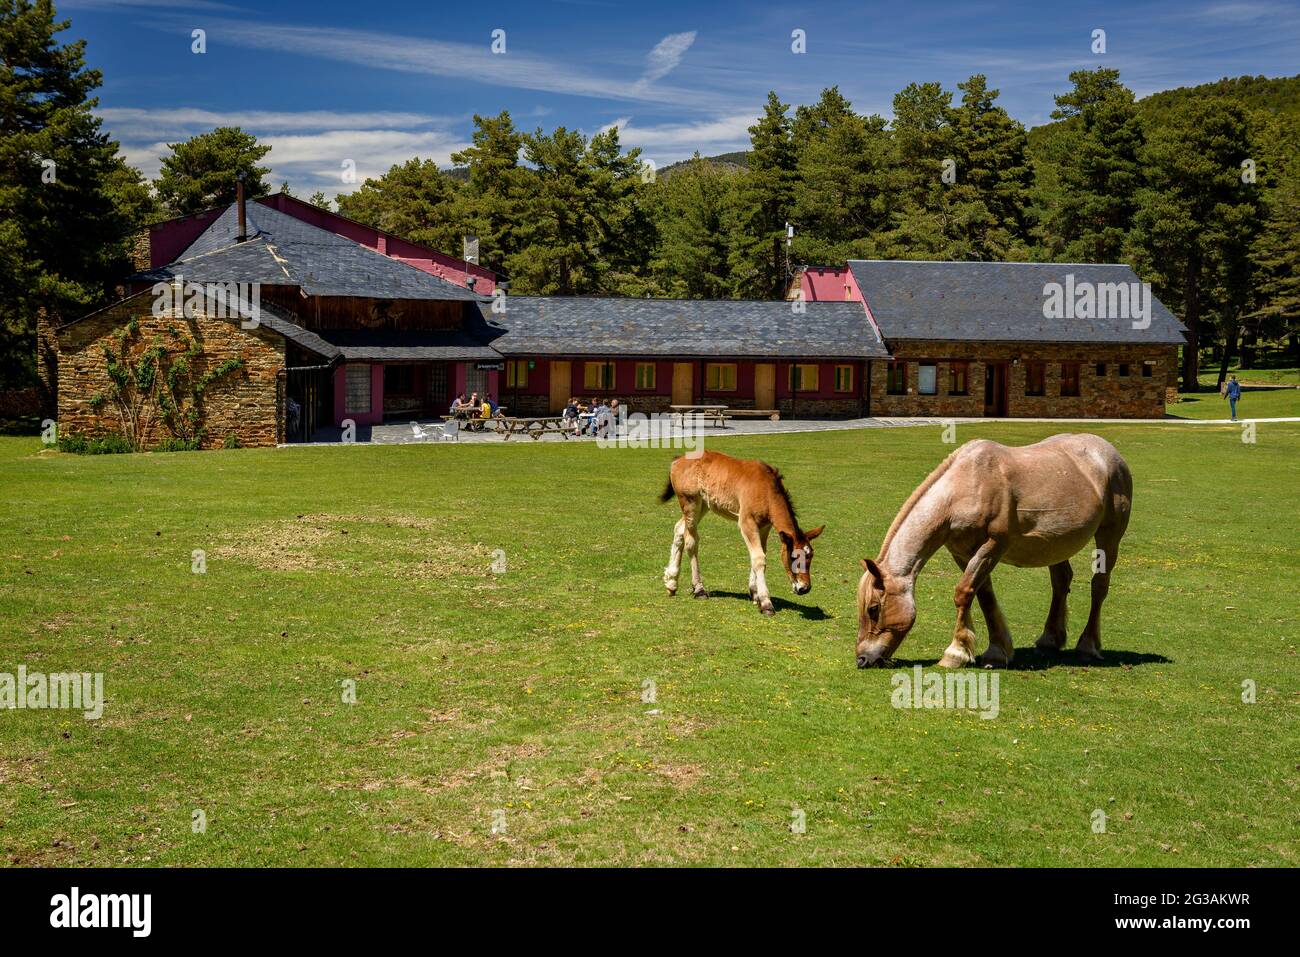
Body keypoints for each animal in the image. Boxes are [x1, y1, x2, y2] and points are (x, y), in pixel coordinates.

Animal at [660, 447, 821, 613]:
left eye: (811, 556)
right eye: (794, 557)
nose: (805, 588)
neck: (765, 489)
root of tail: (678, 460)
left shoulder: (764, 526)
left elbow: (759, 554)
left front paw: (755, 593)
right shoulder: (746, 522)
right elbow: (759, 558)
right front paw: (766, 603)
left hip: (703, 505)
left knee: (679, 529)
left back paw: (671, 582)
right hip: (690, 502)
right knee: (691, 542)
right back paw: (699, 589)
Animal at [852, 429, 1128, 670]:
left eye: (873, 609)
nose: (862, 659)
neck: (967, 486)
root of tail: (1109, 452)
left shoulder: (993, 546)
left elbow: (964, 593)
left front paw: (955, 653)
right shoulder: (963, 552)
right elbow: (983, 595)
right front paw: (998, 651)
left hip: (1109, 536)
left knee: (1099, 586)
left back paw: (1088, 646)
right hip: (1056, 545)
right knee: (1061, 582)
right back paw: (1049, 641)